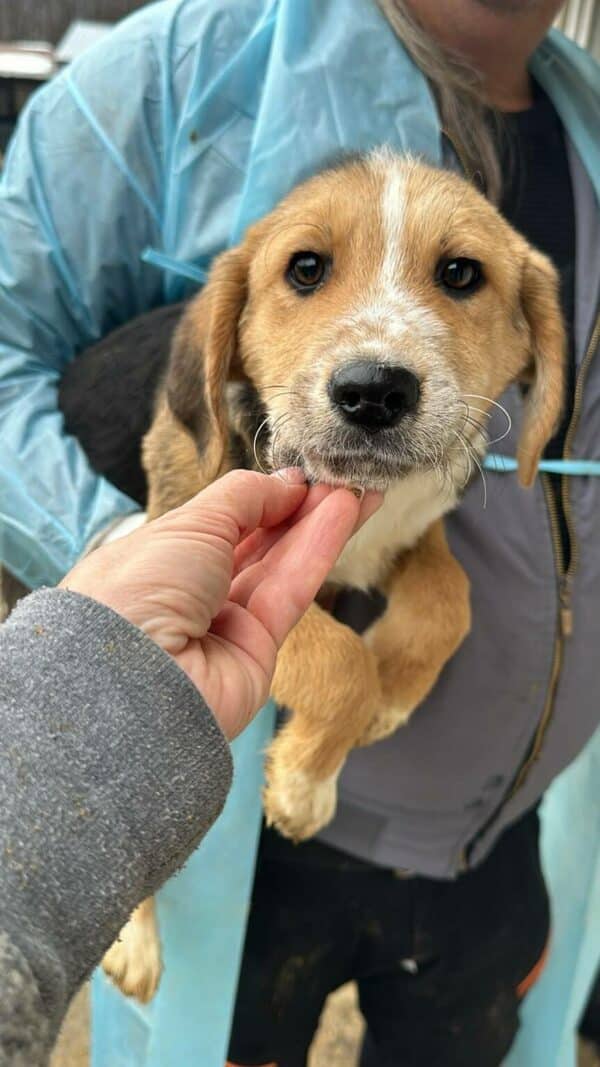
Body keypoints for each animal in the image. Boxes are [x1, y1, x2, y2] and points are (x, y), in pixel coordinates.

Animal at [100, 150, 563, 998]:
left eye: (461, 273)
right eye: (306, 268)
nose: (374, 391)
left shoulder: (416, 526)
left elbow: (450, 602)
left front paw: (393, 697)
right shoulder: (207, 539)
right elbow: (338, 660)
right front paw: (306, 782)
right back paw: (137, 943)